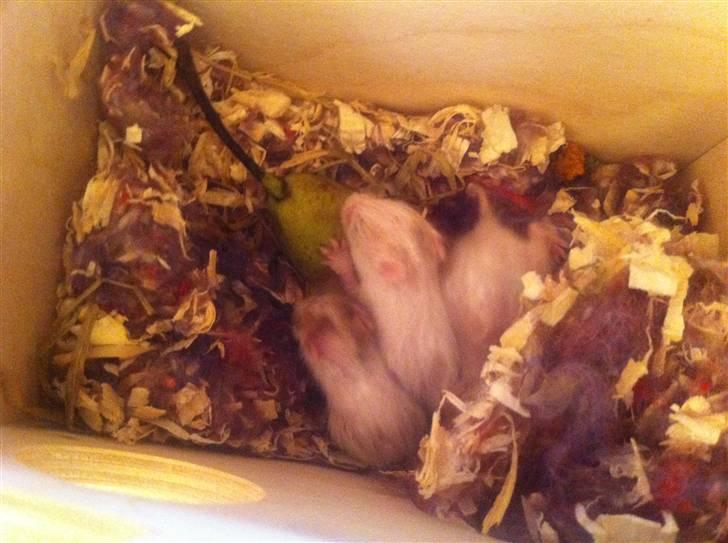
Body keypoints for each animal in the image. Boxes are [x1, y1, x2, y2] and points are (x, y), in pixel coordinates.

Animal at [323, 193, 460, 413]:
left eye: (357, 227)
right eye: (391, 202)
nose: (352, 197)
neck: (415, 274)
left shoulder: (367, 294)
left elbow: (352, 286)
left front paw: (338, 256)